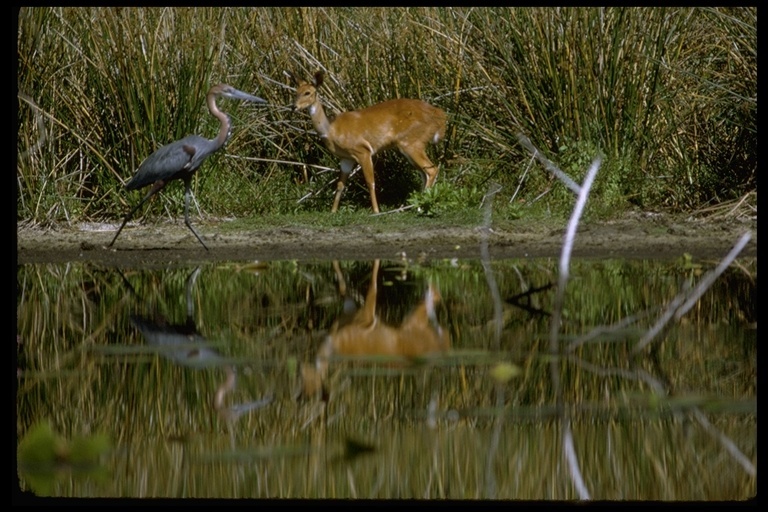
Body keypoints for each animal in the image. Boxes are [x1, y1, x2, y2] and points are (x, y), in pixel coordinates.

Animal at [288, 69, 448, 213]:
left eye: (308, 92)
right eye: (296, 92)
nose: (294, 107)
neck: (332, 130)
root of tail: (441, 118)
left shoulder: (362, 150)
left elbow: (370, 182)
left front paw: (376, 211)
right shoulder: (346, 158)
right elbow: (340, 185)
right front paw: (333, 211)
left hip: (411, 142)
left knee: (431, 170)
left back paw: (421, 207)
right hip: (411, 146)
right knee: (424, 173)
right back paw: (417, 206)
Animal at [300, 260, 450, 400]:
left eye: (313, 384)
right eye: (305, 385)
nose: (302, 368)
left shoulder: (367, 317)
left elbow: (373, 284)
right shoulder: (346, 314)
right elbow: (342, 284)